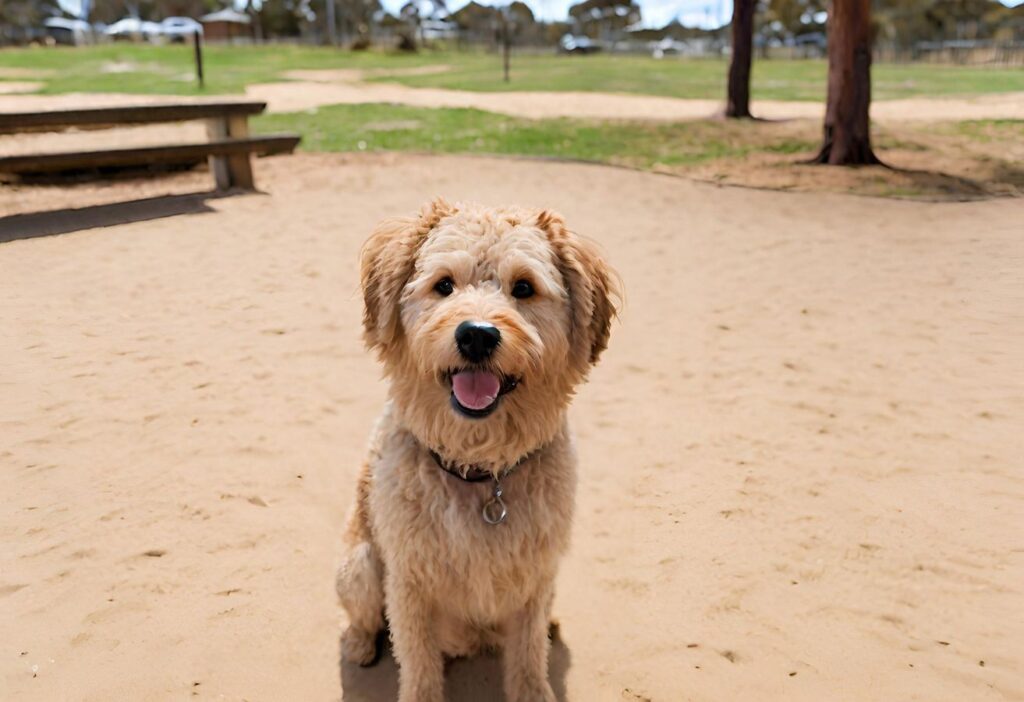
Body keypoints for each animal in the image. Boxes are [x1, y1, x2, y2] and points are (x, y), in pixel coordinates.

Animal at [339, 198, 618, 702]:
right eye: (444, 284)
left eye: (524, 287)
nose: (477, 335)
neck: (483, 470)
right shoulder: (408, 583)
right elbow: (419, 667)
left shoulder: (534, 579)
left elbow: (528, 660)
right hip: (361, 567)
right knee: (363, 617)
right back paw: (358, 644)